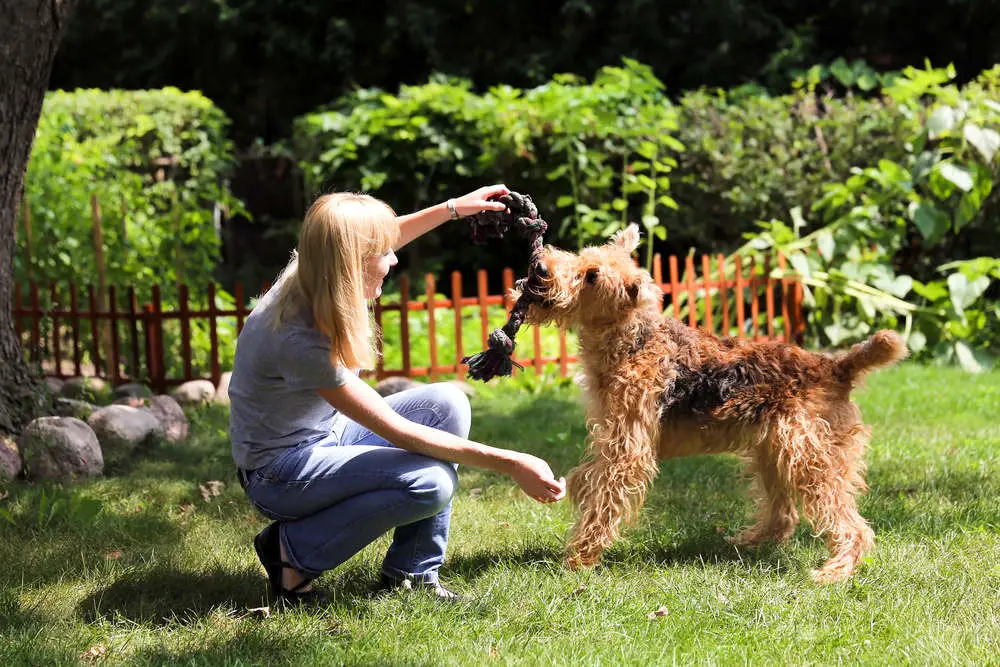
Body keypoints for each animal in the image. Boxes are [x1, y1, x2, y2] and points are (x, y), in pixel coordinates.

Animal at [524, 227, 908, 580]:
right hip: (774, 452)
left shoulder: (627, 449)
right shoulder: (612, 435)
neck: (631, 340)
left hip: (810, 457)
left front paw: (579, 559)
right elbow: (589, 479)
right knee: (784, 516)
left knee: (852, 525)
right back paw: (747, 542)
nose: (540, 267)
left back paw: (834, 571)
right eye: (583, 256)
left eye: (592, 276)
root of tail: (837, 366)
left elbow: (603, 497)